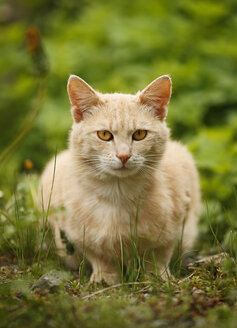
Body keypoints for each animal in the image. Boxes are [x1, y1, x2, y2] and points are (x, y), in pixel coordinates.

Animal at [38, 74, 200, 284]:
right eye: (104, 134)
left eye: (139, 134)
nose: (124, 156)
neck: (118, 193)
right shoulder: (81, 236)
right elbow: (99, 257)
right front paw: (104, 279)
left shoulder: (173, 228)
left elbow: (158, 255)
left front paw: (156, 277)